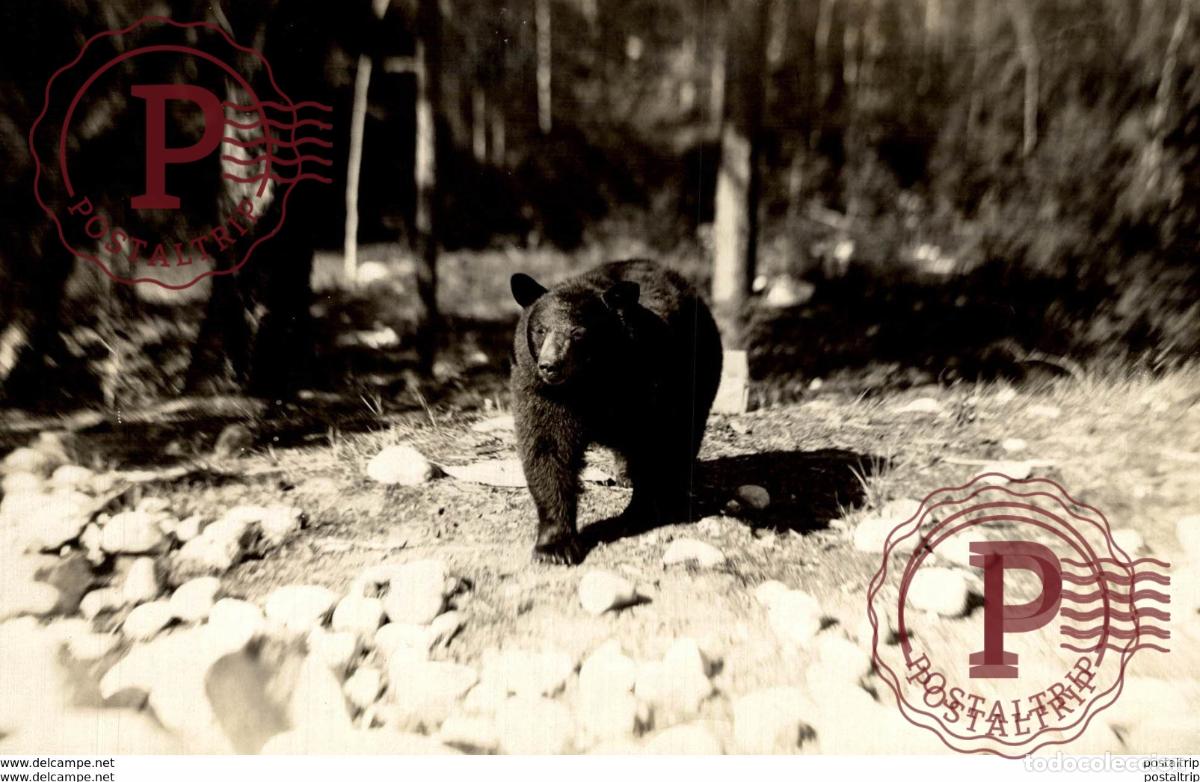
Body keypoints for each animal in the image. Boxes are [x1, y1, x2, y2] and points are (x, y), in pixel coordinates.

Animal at [509, 259, 723, 564]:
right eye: (540, 330)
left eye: (578, 332)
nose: (550, 366)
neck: (589, 381)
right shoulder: (541, 392)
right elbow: (546, 448)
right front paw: (555, 547)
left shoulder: (645, 383)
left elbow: (651, 442)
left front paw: (637, 514)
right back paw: (625, 476)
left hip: (698, 366)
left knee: (683, 435)